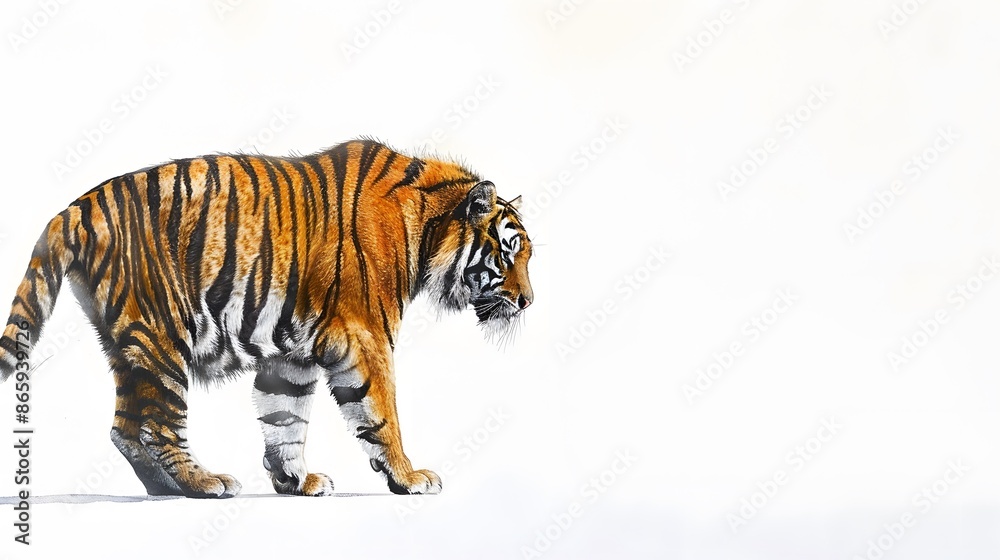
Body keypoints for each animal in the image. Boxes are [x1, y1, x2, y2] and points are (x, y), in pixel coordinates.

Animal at [0, 139, 534, 498]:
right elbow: (381, 413)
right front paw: (408, 476)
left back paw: (166, 488)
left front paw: (295, 479)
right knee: (155, 426)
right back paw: (204, 483)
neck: (427, 228)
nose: (529, 301)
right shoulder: (366, 335)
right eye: (508, 253)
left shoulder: (293, 350)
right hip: (162, 335)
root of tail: (76, 207)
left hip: (126, 344)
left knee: (125, 428)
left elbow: (285, 416)